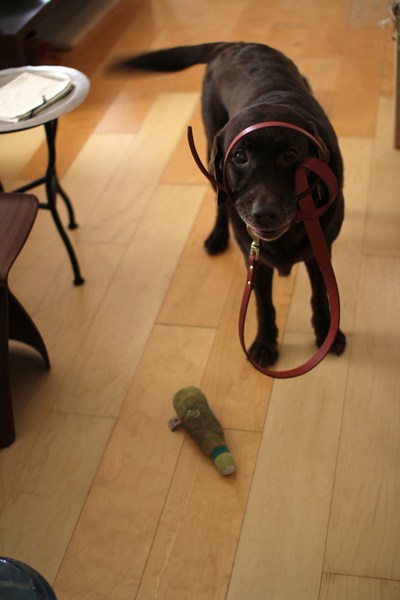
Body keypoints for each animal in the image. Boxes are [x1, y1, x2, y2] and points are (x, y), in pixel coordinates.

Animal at [114, 42, 346, 367]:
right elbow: (263, 304)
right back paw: (217, 237)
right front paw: (264, 344)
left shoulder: (319, 252)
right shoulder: (255, 259)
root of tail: (234, 44)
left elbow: (321, 296)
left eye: (290, 154)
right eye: (240, 156)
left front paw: (327, 335)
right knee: (218, 203)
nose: (264, 214)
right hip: (211, 152)